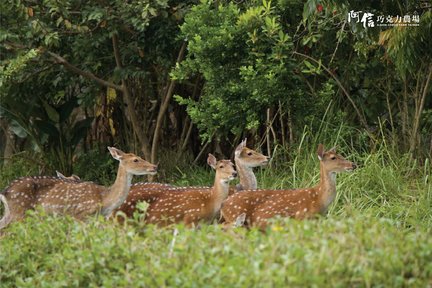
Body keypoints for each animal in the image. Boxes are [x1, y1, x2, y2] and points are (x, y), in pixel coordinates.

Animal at [0, 146, 158, 230]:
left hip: (10, 213)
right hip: (20, 212)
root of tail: (4, 192)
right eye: (135, 160)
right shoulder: (80, 214)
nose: (154, 166)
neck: (105, 200)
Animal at [221, 145, 356, 231]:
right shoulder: (302, 218)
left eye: (340, 154)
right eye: (333, 157)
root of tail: (223, 204)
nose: (353, 164)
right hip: (235, 217)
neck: (319, 199)